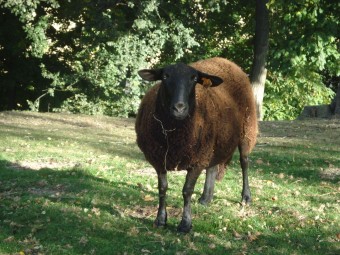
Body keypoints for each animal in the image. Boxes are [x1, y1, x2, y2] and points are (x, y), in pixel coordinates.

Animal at [135, 57, 258, 233]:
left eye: (194, 79)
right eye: (165, 76)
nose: (179, 108)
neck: (174, 136)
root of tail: (226, 61)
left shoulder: (197, 160)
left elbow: (187, 191)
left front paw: (185, 224)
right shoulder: (159, 159)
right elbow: (163, 188)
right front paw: (160, 219)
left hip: (246, 130)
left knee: (244, 162)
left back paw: (246, 196)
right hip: (213, 142)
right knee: (212, 167)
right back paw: (206, 197)